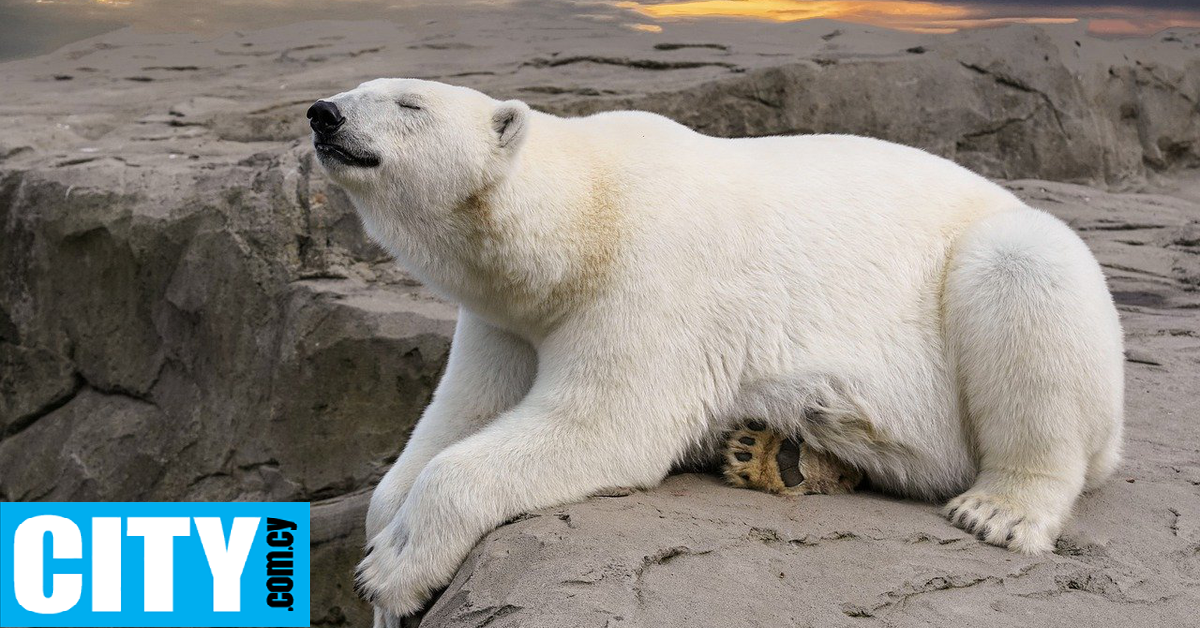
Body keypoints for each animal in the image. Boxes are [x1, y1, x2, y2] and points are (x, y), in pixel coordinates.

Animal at [307, 77, 1123, 619]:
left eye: (408, 105)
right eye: (361, 88)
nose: (323, 112)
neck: (584, 218)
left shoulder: (653, 277)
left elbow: (603, 426)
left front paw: (393, 571)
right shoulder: (505, 317)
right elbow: (460, 415)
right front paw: (386, 565)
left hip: (1000, 279)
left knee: (1023, 278)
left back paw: (999, 509)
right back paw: (777, 450)